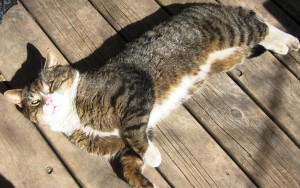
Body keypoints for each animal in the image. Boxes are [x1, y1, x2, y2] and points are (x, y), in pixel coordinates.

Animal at [3, 2, 298, 188]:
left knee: (259, 24)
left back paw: (288, 40)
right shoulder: (126, 142)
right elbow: (128, 163)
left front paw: (154, 157)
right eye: (34, 101)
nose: (48, 101)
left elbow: (135, 131)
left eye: (51, 85)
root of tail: (208, 5)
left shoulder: (135, 93)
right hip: (232, 53)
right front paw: (144, 181)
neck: (73, 116)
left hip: (232, 31)